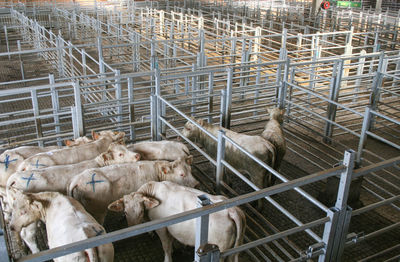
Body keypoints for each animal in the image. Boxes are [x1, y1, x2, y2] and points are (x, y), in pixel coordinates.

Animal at [108, 181, 247, 262]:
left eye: (141, 211)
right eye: (125, 212)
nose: (132, 228)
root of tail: (231, 209)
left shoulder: (162, 228)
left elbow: (166, 246)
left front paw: (168, 258)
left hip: (220, 248)